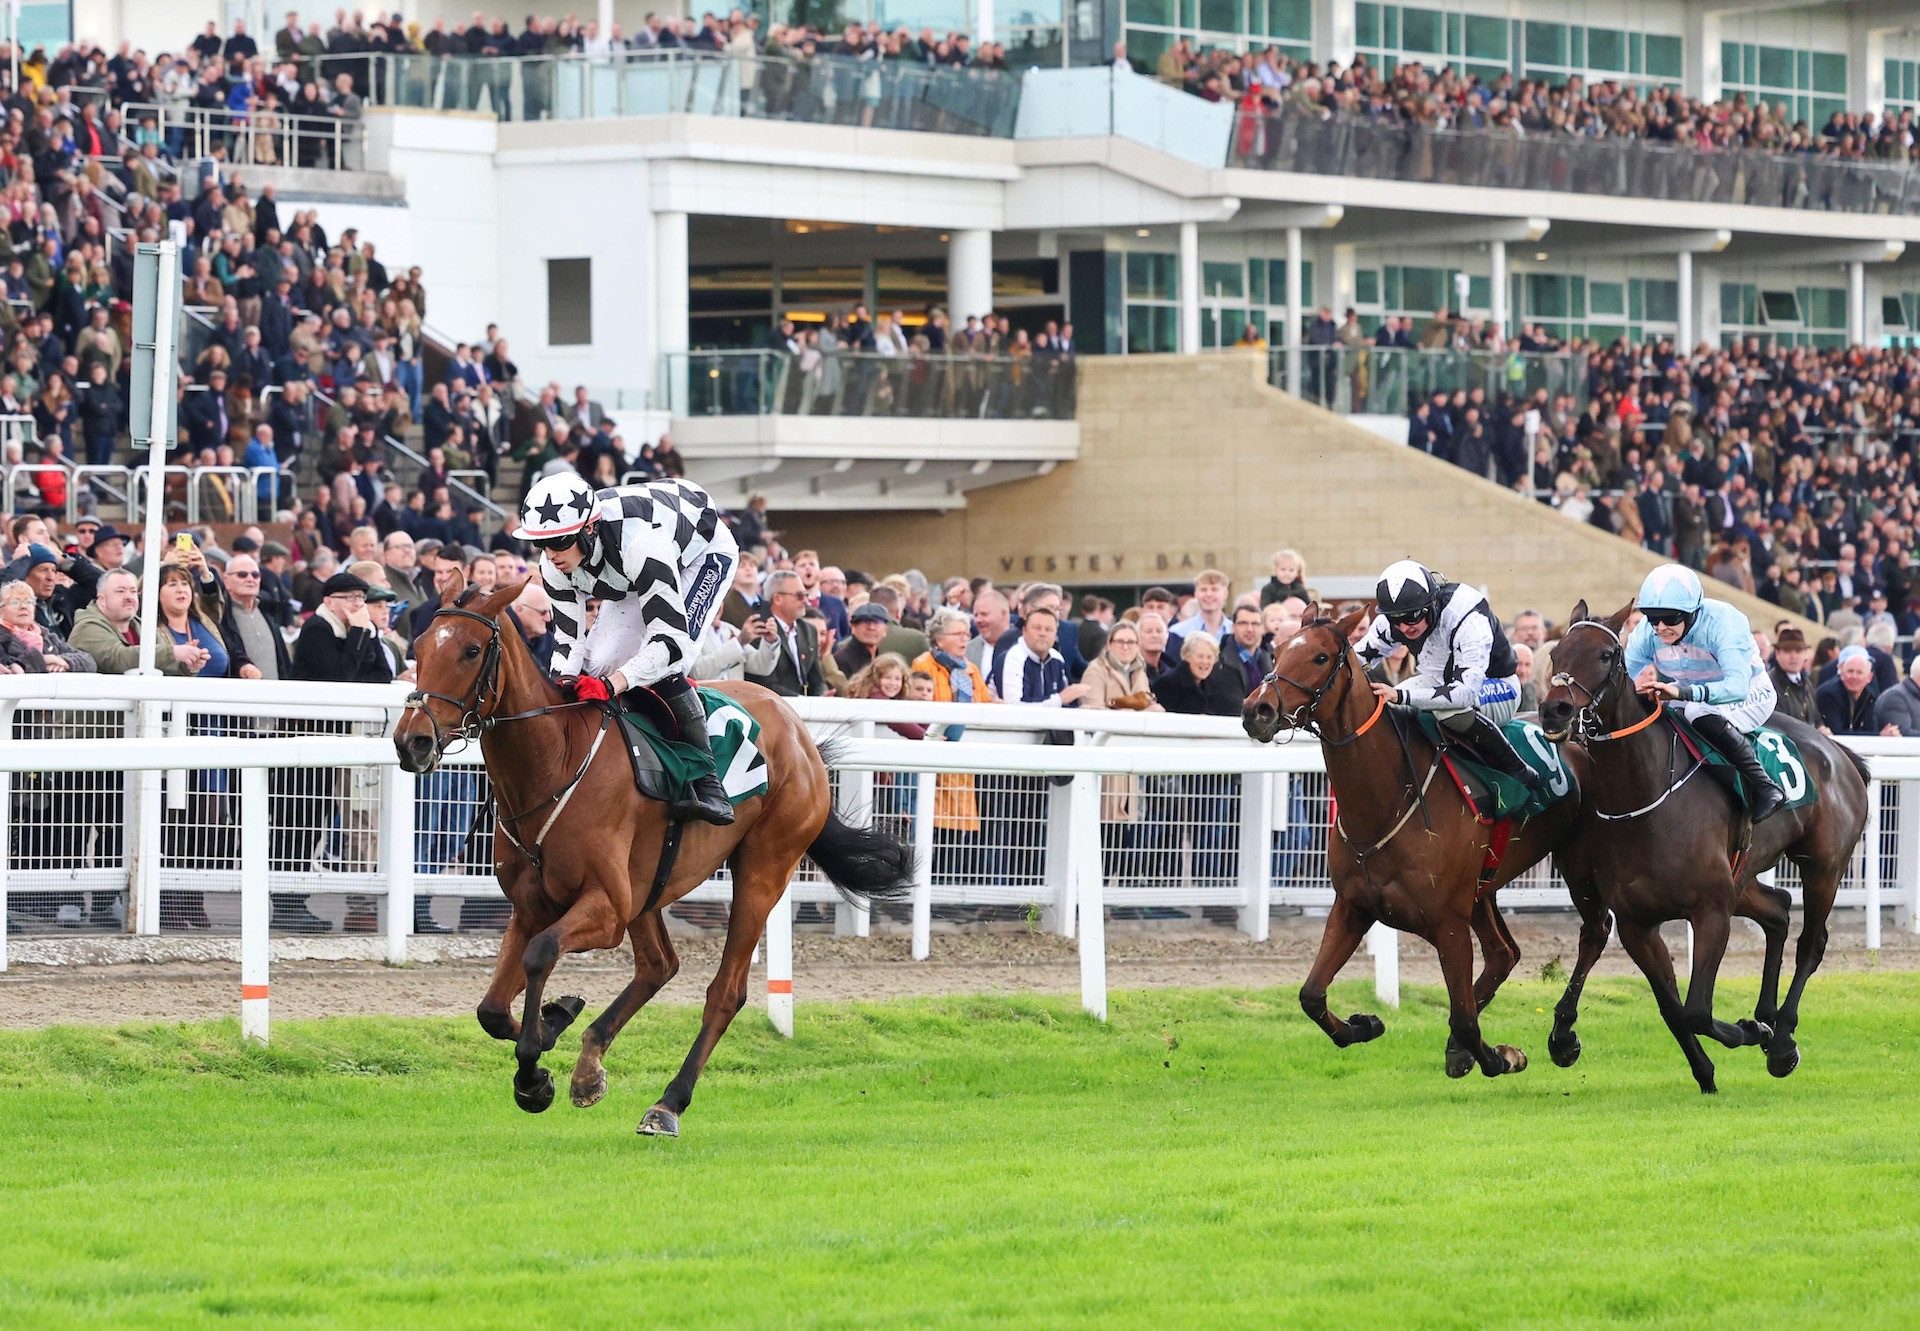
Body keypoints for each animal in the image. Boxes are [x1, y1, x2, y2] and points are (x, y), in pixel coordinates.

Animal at [389, 576, 913, 1137]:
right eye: (419, 646)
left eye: (470, 650)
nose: (411, 741)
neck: (555, 762)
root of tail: (799, 732)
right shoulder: (531, 906)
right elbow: (490, 1009)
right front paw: (554, 1023)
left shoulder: (606, 908)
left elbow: (541, 954)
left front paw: (534, 1072)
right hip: (650, 884)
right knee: (659, 965)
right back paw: (589, 1064)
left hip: (763, 868)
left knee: (725, 991)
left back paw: (668, 1103)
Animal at [1244, 603, 1589, 1083]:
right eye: (1275, 651)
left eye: (1319, 657)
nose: (1256, 709)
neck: (1387, 801)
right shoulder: (1353, 906)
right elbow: (1311, 995)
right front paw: (1364, 1024)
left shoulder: (1448, 923)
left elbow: (1464, 1018)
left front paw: (1499, 1056)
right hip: (1482, 888)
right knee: (1504, 954)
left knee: (1592, 934)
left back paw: (1563, 1037)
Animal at [1536, 603, 1866, 1090]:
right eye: (1556, 653)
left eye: (1604, 655)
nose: (1555, 710)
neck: (1645, 797)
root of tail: (1840, 753)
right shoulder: (1638, 923)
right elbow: (1673, 1008)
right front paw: (1711, 1066)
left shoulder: (1711, 911)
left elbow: (1695, 1010)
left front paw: (1751, 1032)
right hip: (1742, 875)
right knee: (1779, 910)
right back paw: (1768, 1017)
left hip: (1823, 864)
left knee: (1812, 940)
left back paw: (1782, 1039)